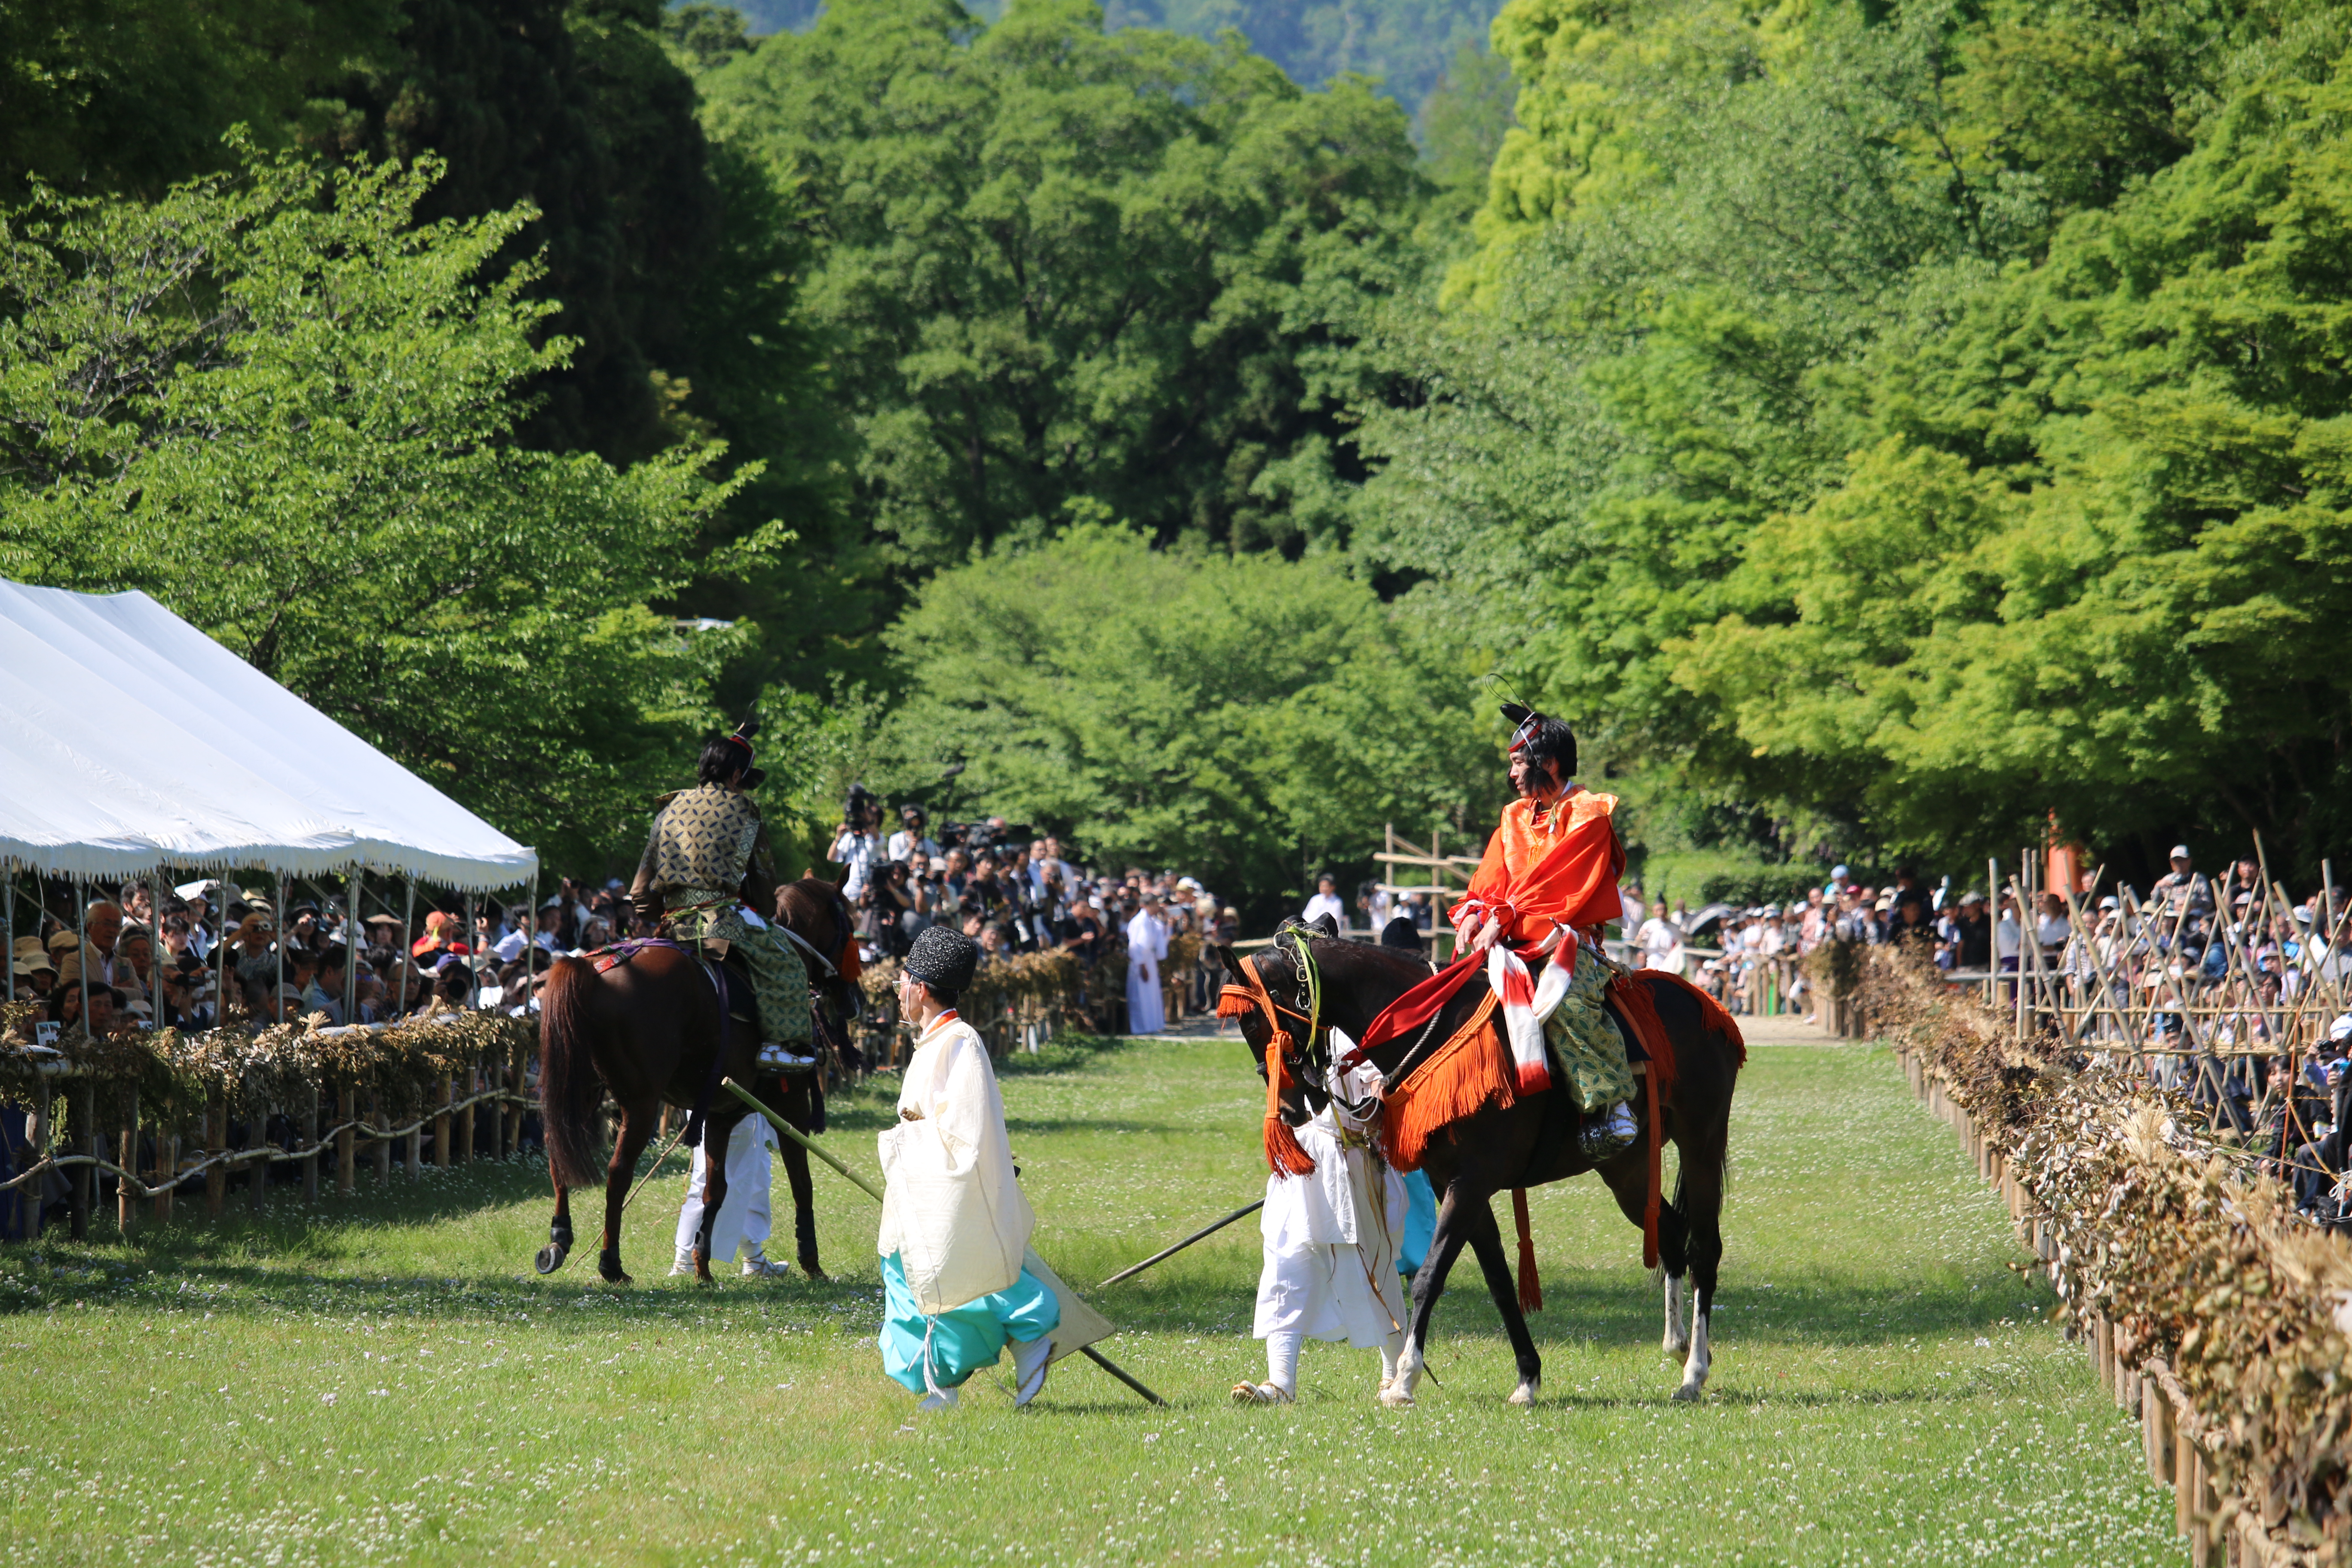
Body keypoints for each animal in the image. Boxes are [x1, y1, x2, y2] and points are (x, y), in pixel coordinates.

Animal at [539, 879, 861, 1279]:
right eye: (848, 924)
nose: (854, 1000)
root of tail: (592, 967)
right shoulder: (792, 1106)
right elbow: (802, 1183)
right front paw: (812, 1262)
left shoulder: (721, 1114)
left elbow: (715, 1189)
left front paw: (702, 1266)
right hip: (640, 1103)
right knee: (618, 1173)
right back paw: (611, 1263)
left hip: (579, 1091)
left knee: (559, 1151)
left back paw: (559, 1239)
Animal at [1223, 926, 1740, 1401]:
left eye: (1253, 1023)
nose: (1290, 1109)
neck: (1435, 1033)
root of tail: (1703, 1004)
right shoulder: (1452, 1183)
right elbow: (1498, 1279)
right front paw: (1528, 1377)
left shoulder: (1471, 1182)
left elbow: (1430, 1276)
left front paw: (1405, 1380)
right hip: (1625, 1169)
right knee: (1670, 1232)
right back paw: (1678, 1345)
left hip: (1701, 1141)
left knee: (1704, 1249)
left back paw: (1694, 1372)